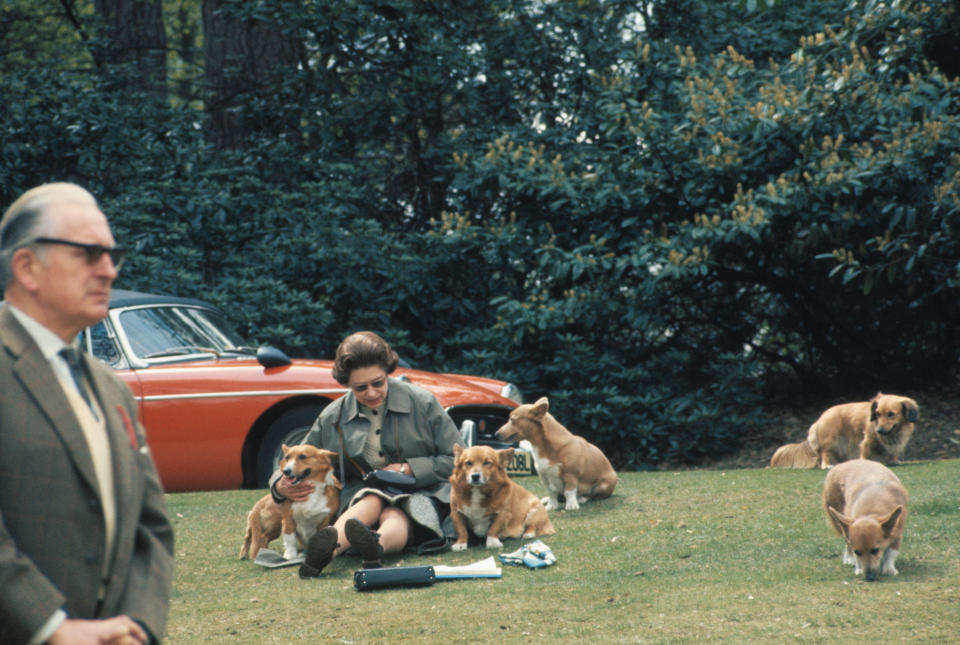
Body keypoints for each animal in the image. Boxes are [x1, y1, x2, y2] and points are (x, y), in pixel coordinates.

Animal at [768, 392, 920, 468]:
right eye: (877, 414)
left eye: (891, 414)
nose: (879, 431)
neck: (893, 432)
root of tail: (819, 420)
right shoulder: (867, 441)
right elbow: (865, 452)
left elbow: (892, 451)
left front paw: (894, 460)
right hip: (830, 442)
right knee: (825, 454)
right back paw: (827, 465)